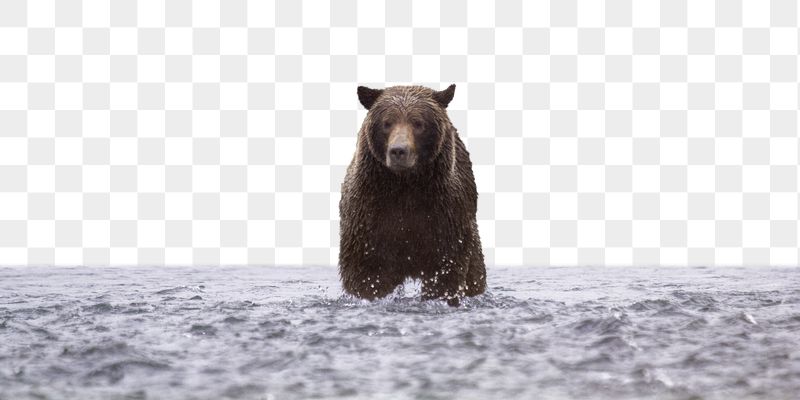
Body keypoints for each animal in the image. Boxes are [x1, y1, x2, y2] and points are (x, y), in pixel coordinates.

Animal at [338, 84, 486, 306]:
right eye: (387, 123)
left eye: (418, 123)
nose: (398, 151)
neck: (405, 185)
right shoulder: (369, 215)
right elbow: (367, 273)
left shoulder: (444, 216)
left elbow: (445, 270)